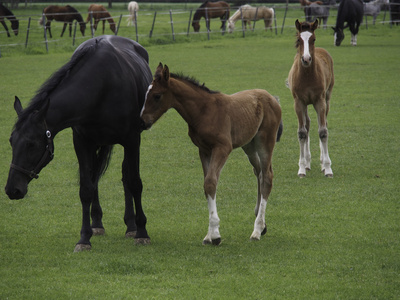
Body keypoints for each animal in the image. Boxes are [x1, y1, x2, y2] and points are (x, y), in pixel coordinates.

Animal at [6, 34, 153, 251]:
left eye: (32, 144)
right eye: (11, 141)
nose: (12, 189)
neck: (102, 86)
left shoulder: (132, 140)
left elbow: (134, 182)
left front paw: (141, 231)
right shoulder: (82, 143)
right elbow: (86, 188)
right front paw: (84, 237)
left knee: (126, 176)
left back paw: (131, 226)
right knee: (95, 178)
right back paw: (97, 223)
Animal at [141, 62, 282, 244]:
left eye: (157, 96)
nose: (143, 121)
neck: (204, 111)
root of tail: (272, 97)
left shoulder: (223, 148)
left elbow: (210, 182)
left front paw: (215, 234)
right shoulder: (204, 150)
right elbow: (207, 184)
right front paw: (209, 234)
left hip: (265, 141)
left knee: (267, 177)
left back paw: (256, 230)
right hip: (249, 145)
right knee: (258, 173)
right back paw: (262, 224)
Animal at [288, 19, 334, 178]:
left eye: (313, 39)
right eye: (299, 40)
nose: (306, 59)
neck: (307, 76)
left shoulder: (319, 101)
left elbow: (323, 131)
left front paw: (327, 168)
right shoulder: (298, 102)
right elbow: (302, 132)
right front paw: (301, 168)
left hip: (327, 98)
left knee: (323, 122)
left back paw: (322, 161)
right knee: (307, 124)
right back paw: (307, 163)